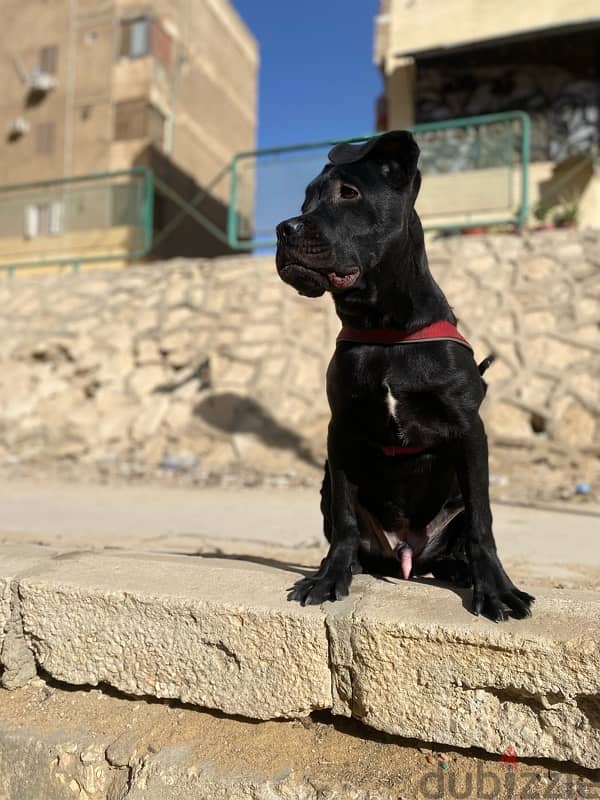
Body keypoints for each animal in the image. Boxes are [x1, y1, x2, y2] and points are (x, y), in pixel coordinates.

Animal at [276, 130, 536, 624]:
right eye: (305, 200)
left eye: (349, 193)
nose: (285, 229)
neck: (385, 330)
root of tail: (407, 555)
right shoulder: (340, 432)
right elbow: (344, 519)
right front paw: (329, 577)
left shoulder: (469, 430)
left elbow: (483, 522)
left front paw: (497, 589)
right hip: (328, 480)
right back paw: (353, 564)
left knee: (458, 539)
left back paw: (460, 569)